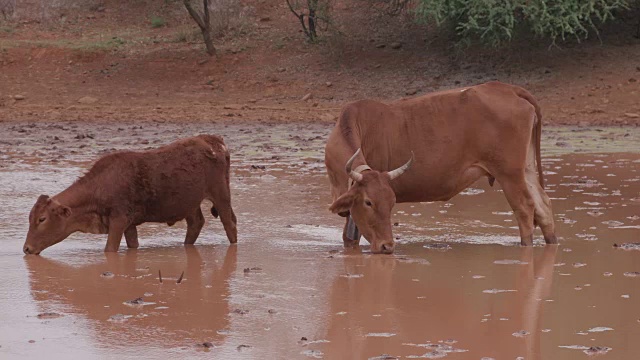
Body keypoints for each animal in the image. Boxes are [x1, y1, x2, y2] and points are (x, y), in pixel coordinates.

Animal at [22, 134, 239, 255]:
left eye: (42, 219)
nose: (27, 248)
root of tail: (213, 140)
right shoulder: (129, 224)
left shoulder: (119, 220)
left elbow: (110, 249)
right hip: (190, 201)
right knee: (196, 222)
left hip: (221, 194)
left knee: (229, 223)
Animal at [324, 81, 556, 253]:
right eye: (369, 202)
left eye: (391, 203)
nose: (387, 246)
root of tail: (508, 89)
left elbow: (350, 238)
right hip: (526, 170)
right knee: (543, 207)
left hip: (509, 174)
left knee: (525, 209)